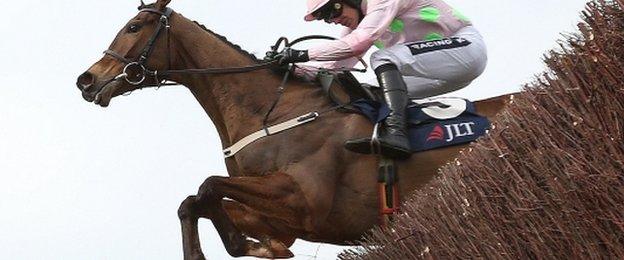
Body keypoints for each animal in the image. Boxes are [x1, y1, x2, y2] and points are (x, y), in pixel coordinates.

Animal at [74, 1, 512, 258]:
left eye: (134, 26)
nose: (86, 80)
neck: (272, 110)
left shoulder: (304, 200)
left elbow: (208, 186)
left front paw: (249, 246)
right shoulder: (282, 219)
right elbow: (191, 202)